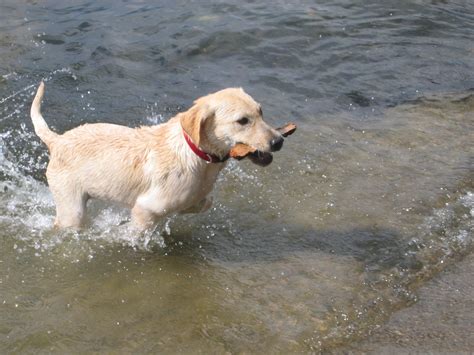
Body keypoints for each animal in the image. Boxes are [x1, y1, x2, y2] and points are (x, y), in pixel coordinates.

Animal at [30, 82, 286, 229]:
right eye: (242, 121)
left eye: (261, 112)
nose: (279, 141)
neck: (196, 155)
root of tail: (57, 140)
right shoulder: (145, 208)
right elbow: (137, 230)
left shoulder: (196, 196)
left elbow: (204, 202)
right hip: (71, 209)